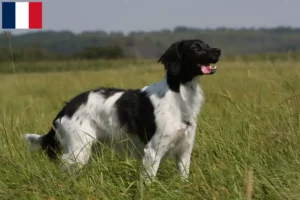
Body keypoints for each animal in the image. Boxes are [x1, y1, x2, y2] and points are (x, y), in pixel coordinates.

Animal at [24, 39, 220, 181]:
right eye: (196, 47)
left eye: (207, 45)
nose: (218, 51)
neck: (179, 94)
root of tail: (66, 107)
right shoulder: (153, 151)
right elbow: (148, 181)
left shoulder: (184, 152)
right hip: (78, 150)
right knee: (65, 166)